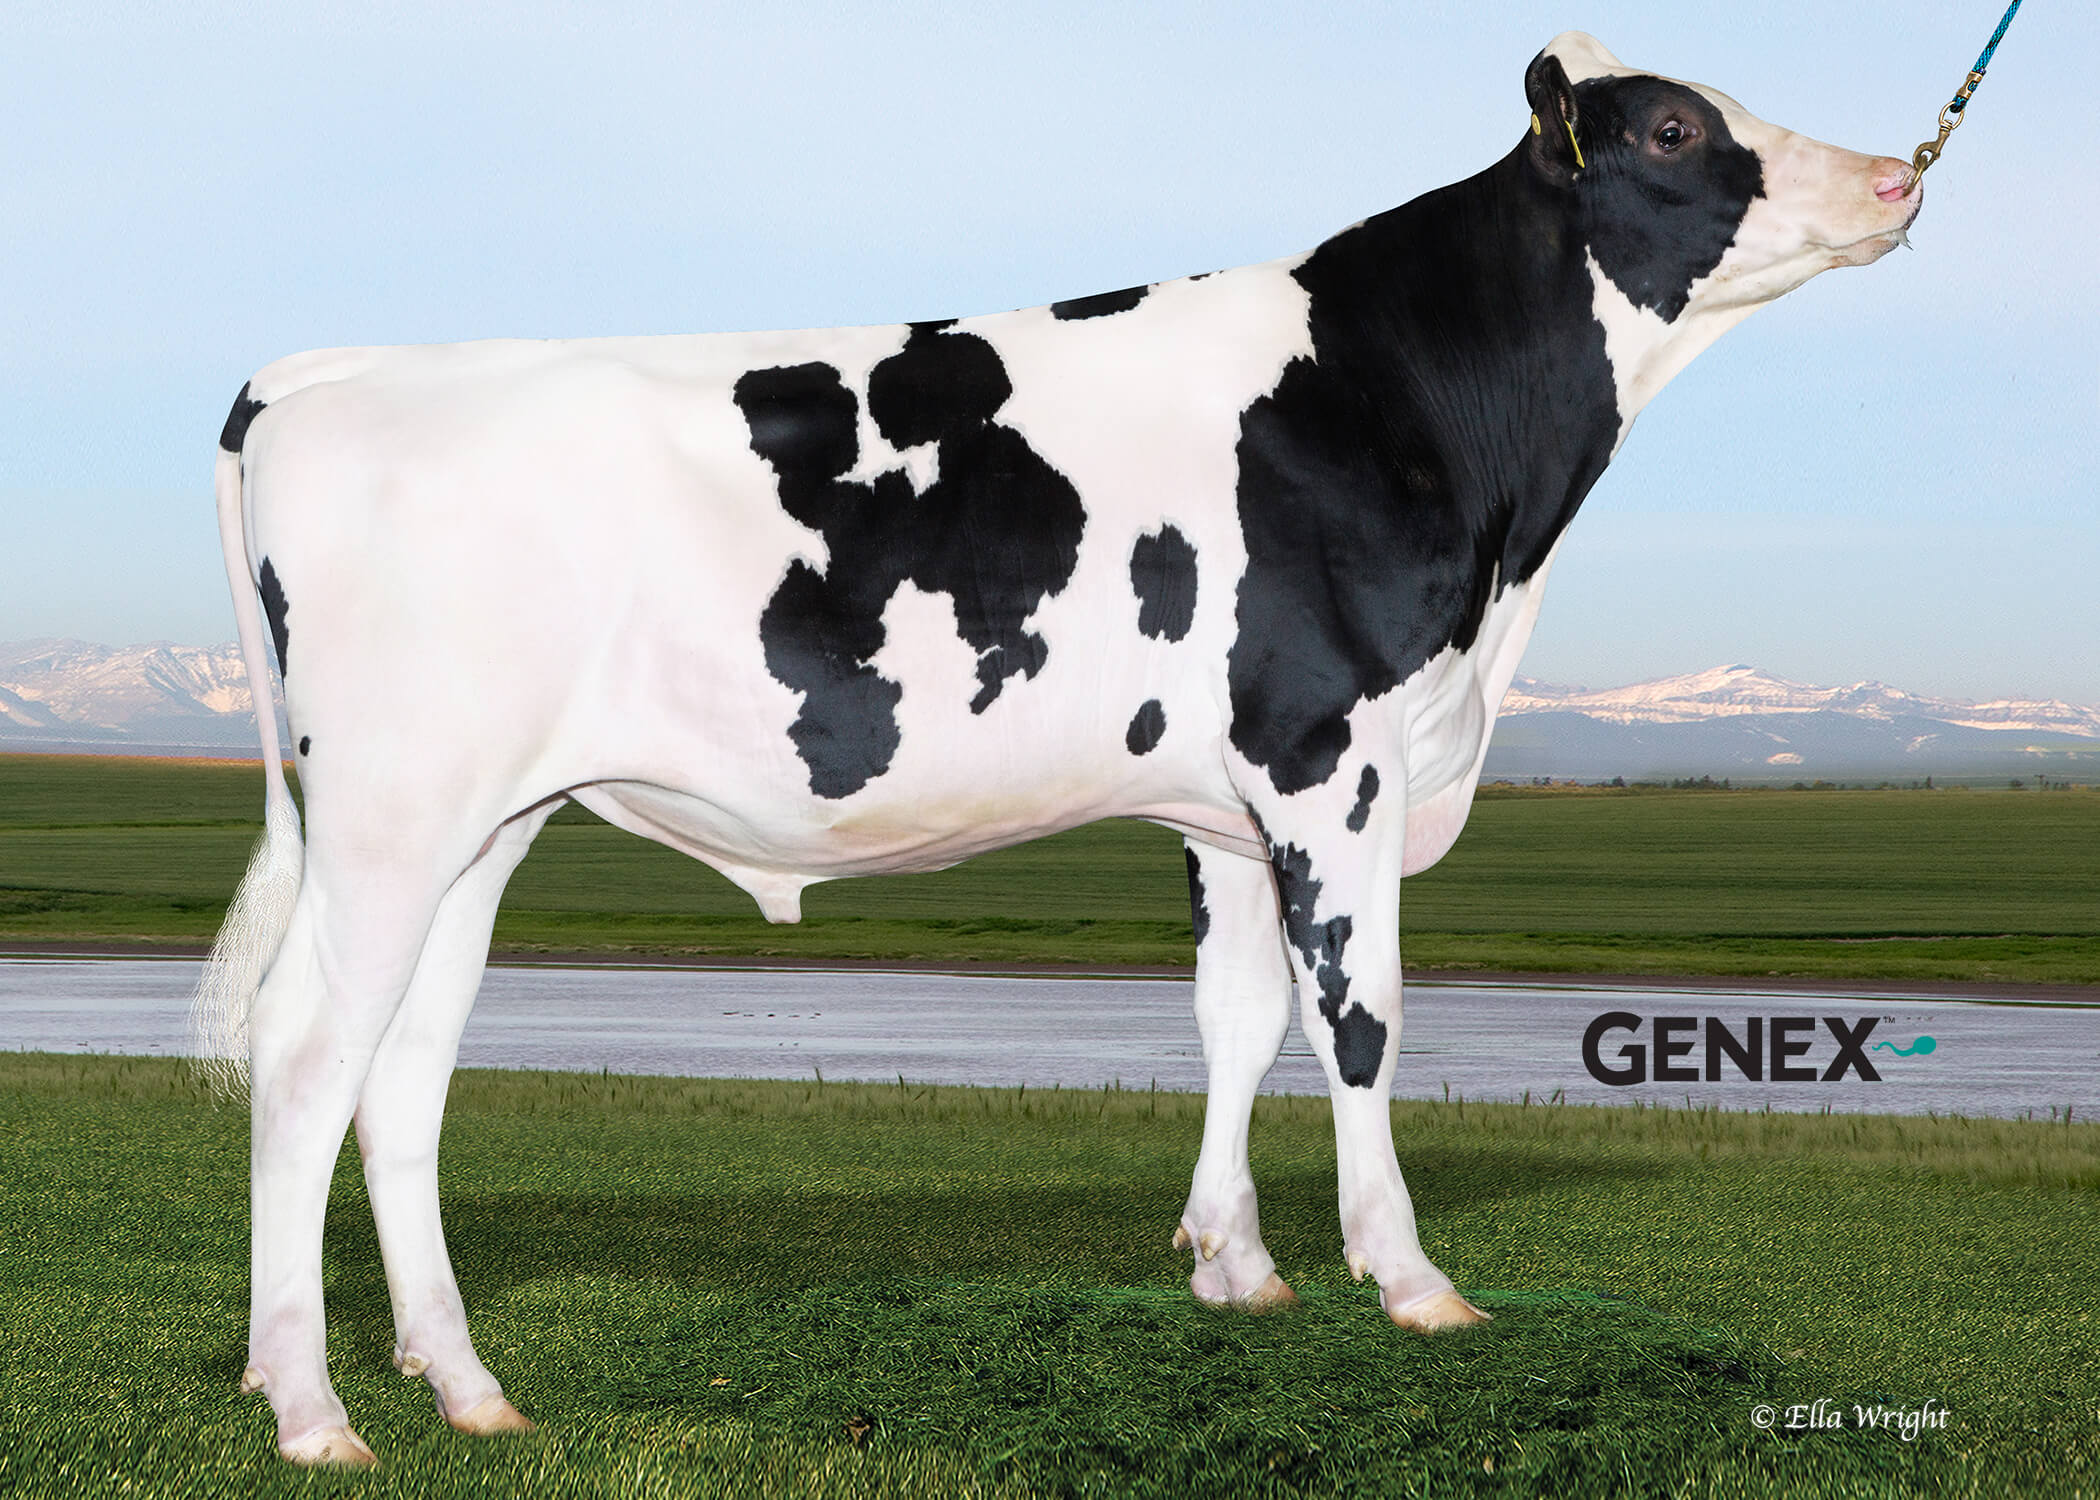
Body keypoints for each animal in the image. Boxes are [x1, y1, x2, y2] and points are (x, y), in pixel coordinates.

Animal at [194, 33, 1924, 1464]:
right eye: (1675, 124)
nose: (1900, 175)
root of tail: (318, 373)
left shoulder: (1229, 802)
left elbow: (1239, 1019)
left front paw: (1238, 1266)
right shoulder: (1329, 749)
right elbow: (1360, 1017)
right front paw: (1411, 1280)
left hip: (478, 825)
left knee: (403, 1071)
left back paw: (466, 1388)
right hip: (391, 811)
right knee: (306, 1053)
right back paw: (311, 1409)